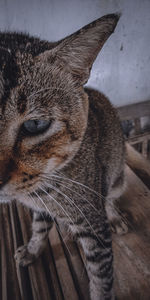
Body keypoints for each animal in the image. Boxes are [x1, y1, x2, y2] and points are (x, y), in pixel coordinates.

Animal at [0, 14, 127, 300]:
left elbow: (101, 277)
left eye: (35, 124)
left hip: (117, 179)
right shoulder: (40, 208)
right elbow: (39, 228)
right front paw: (32, 250)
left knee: (110, 199)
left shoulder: (93, 223)